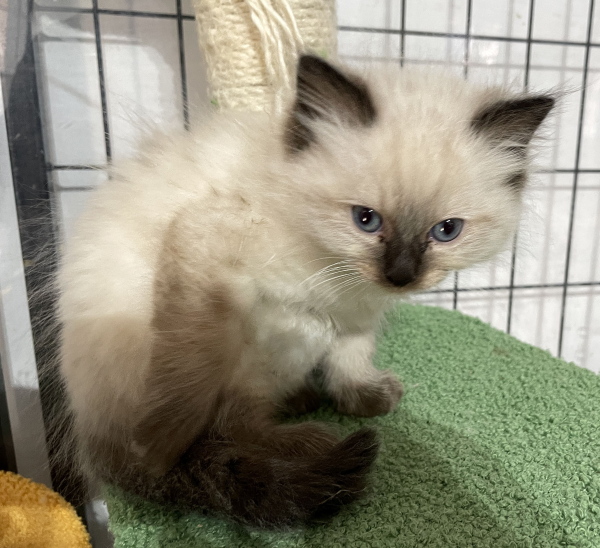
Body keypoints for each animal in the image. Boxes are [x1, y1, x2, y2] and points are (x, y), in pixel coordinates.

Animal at [57, 55, 552, 528]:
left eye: (446, 231)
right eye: (366, 220)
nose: (401, 276)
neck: (332, 271)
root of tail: (93, 435)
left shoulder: (355, 315)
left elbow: (352, 357)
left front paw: (363, 398)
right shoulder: (207, 249)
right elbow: (190, 380)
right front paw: (160, 445)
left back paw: (302, 403)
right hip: (265, 339)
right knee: (227, 425)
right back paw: (306, 440)